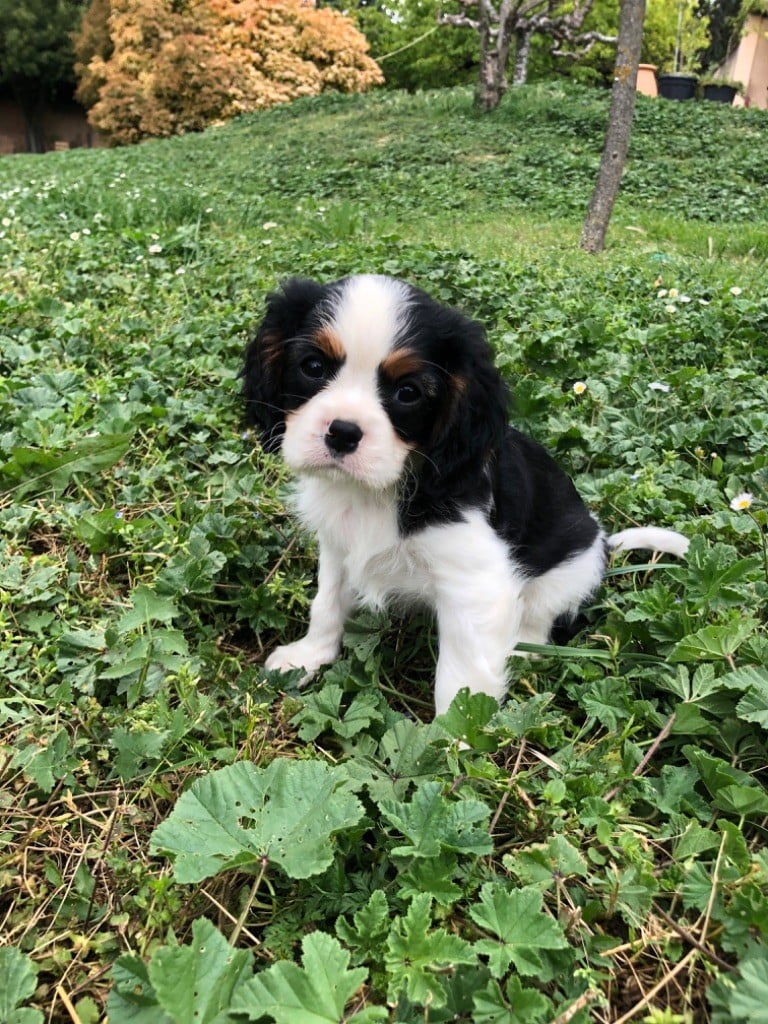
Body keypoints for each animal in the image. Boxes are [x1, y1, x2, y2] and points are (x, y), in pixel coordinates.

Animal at [243, 276, 688, 716]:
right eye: (312, 367)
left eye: (408, 392)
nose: (343, 432)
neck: (377, 491)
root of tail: (603, 542)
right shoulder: (337, 547)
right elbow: (327, 602)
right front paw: (308, 656)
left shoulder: (477, 586)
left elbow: (461, 679)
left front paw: (450, 733)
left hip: (568, 570)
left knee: (540, 618)